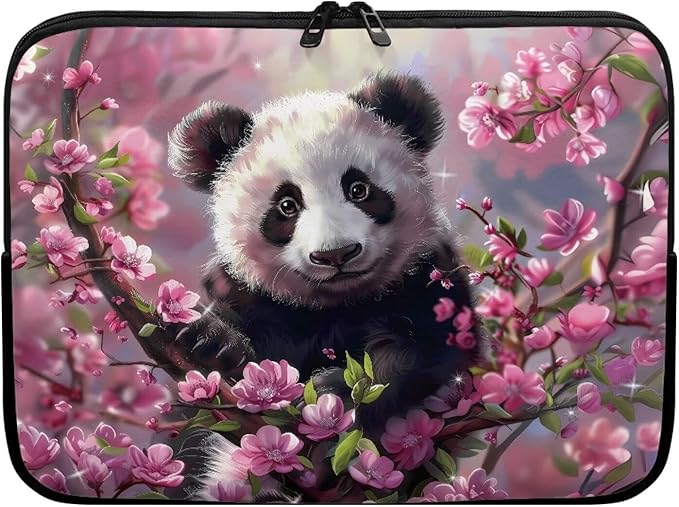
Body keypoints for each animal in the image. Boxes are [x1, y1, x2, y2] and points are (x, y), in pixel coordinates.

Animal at [166, 73, 480, 494]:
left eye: (359, 189)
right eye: (286, 205)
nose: (337, 254)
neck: (334, 304)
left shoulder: (427, 279)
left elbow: (424, 352)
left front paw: (336, 394)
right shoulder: (252, 294)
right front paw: (213, 341)